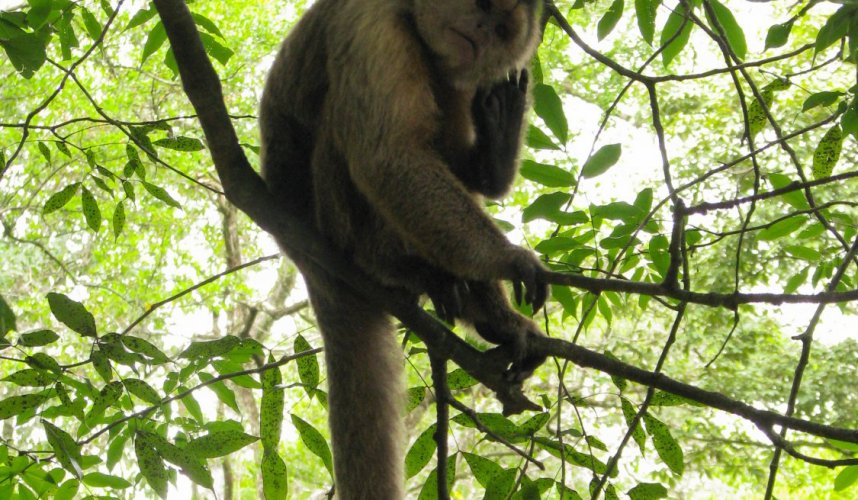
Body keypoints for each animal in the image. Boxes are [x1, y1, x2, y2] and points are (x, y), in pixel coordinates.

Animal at [258, 1, 544, 498]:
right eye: (482, 7)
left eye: (501, 29)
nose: (481, 30)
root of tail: (303, 257)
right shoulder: (369, 21)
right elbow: (389, 158)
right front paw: (509, 259)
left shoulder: (463, 76)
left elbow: (457, 165)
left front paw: (498, 139)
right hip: (326, 221)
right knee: (352, 132)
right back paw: (388, 265)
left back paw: (490, 316)